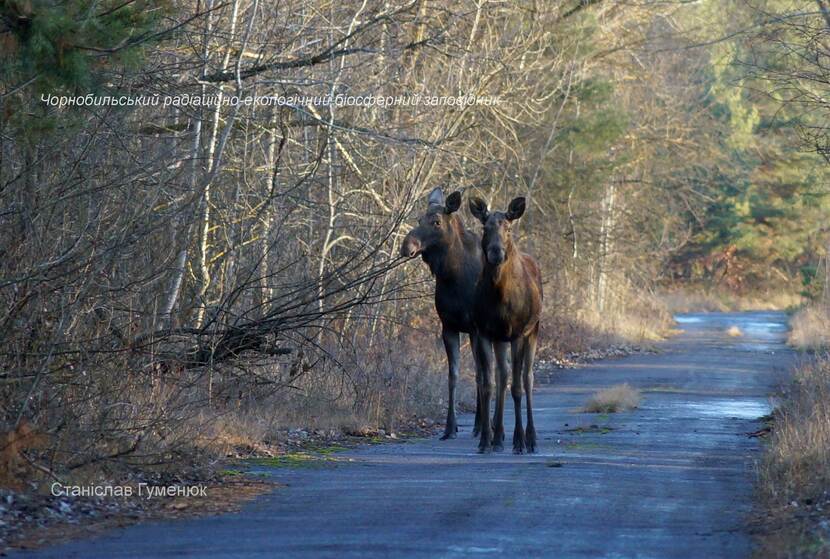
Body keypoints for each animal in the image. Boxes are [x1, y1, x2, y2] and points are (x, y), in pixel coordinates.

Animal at [404, 189, 488, 442]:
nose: (407, 245)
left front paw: (481, 425)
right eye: (419, 219)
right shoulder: (448, 326)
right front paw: (450, 427)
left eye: (437, 222)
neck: (454, 277)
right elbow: (453, 376)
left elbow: (480, 375)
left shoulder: (476, 328)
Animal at [468, 197, 544, 456]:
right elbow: (488, 384)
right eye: (485, 227)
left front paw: (519, 441)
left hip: (534, 330)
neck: (499, 297)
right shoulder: (483, 332)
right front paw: (485, 440)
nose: (496, 252)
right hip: (500, 338)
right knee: (503, 374)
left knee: (527, 377)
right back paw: (499, 435)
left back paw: (531, 438)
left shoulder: (518, 333)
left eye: (508, 228)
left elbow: (517, 387)